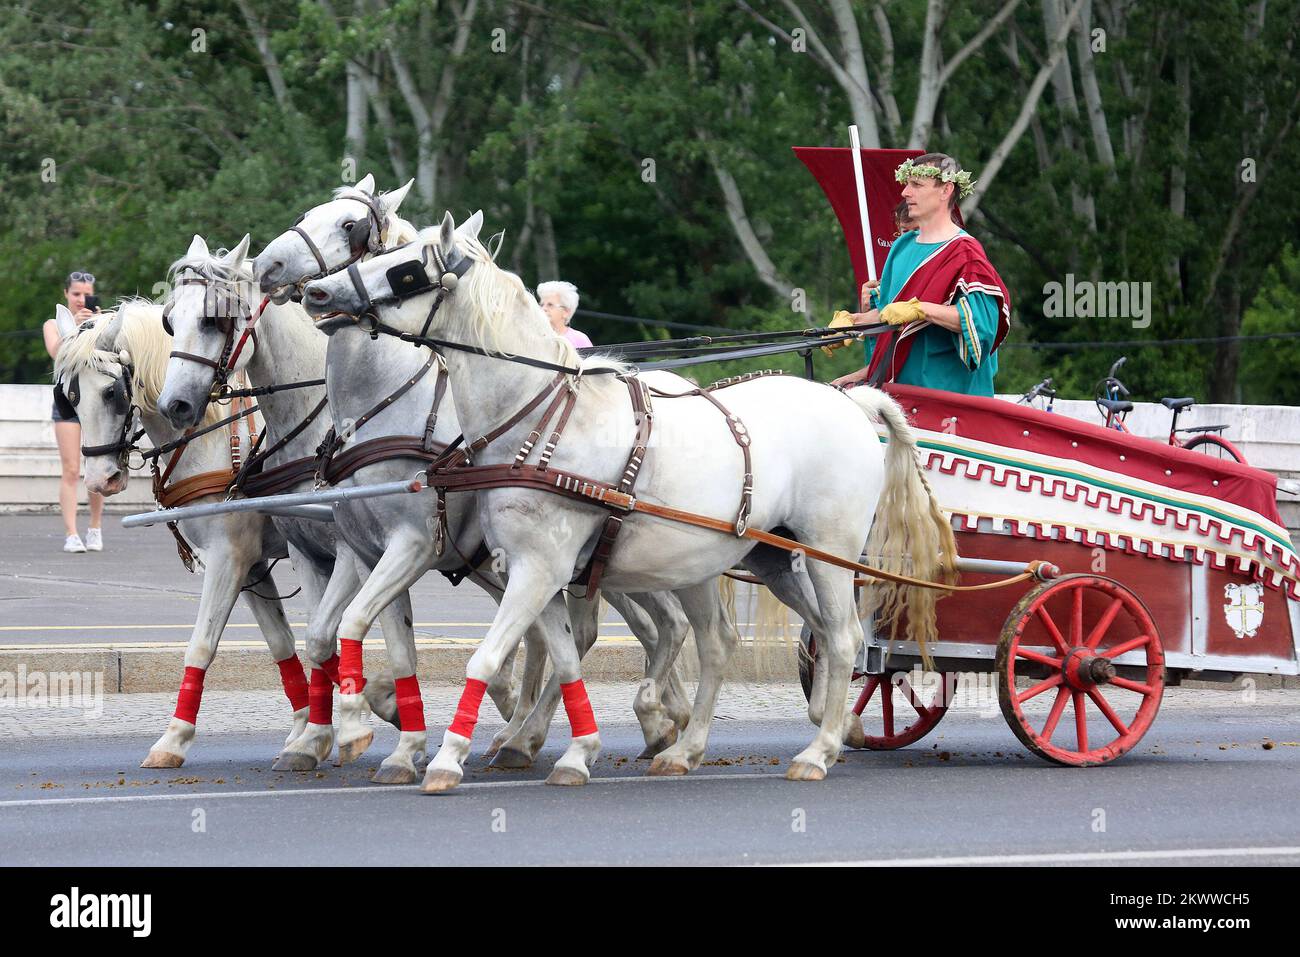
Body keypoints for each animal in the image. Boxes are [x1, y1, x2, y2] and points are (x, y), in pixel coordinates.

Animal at [55, 302, 312, 764]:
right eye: (69, 397)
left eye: (112, 393)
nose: (101, 481)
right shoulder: (250, 566)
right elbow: (281, 643)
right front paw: (306, 728)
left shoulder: (229, 558)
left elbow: (201, 645)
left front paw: (174, 737)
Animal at [254, 179, 702, 764]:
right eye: (310, 212)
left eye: (351, 225)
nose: (270, 265)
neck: (384, 403)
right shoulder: (365, 548)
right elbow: (363, 638)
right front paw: (387, 738)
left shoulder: (412, 544)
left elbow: (352, 623)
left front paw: (359, 726)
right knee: (615, 630)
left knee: (653, 626)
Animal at [301, 217, 956, 790]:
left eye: (406, 268)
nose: (316, 291)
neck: (538, 417)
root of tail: (853, 403)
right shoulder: (538, 571)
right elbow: (566, 660)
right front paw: (572, 751)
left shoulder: (536, 568)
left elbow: (486, 660)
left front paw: (444, 757)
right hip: (761, 559)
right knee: (738, 642)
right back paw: (707, 746)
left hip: (827, 551)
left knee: (843, 640)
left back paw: (817, 751)